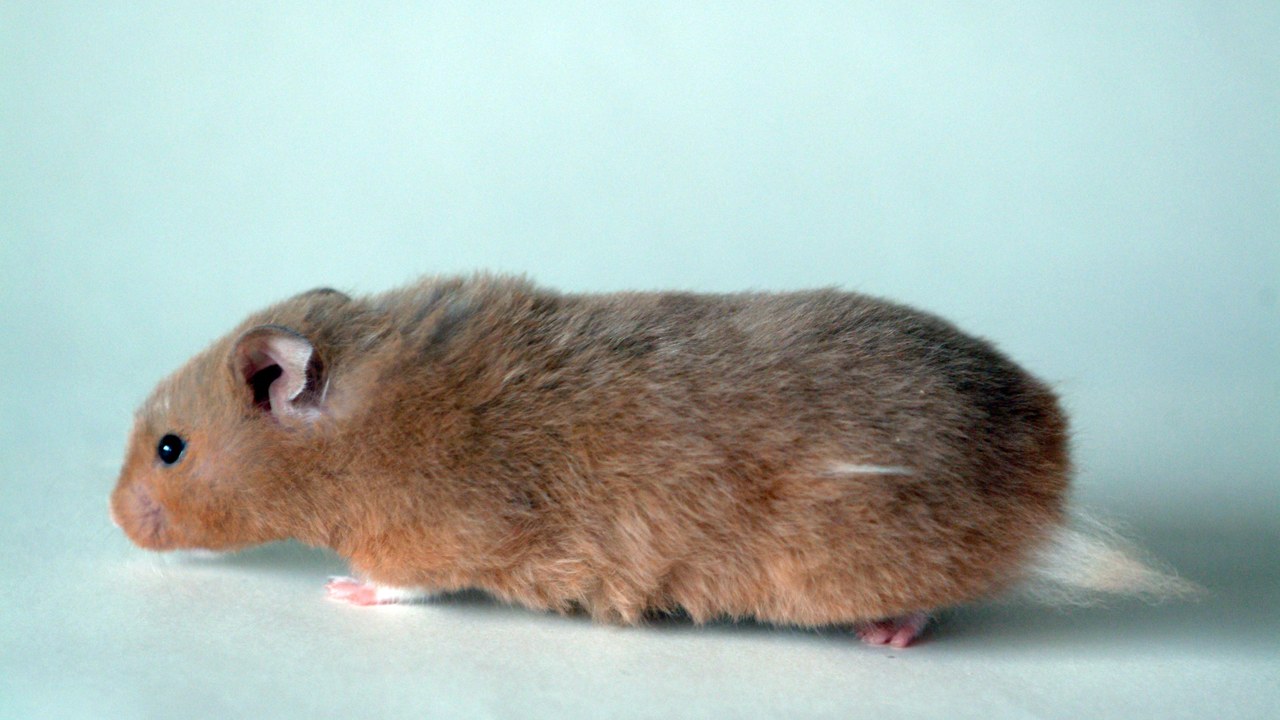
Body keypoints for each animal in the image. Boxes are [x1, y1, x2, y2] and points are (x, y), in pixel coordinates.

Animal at [110, 274, 1190, 647]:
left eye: (170, 449)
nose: (114, 517)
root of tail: (1048, 455)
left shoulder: (433, 533)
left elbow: (404, 581)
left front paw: (341, 588)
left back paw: (890, 632)